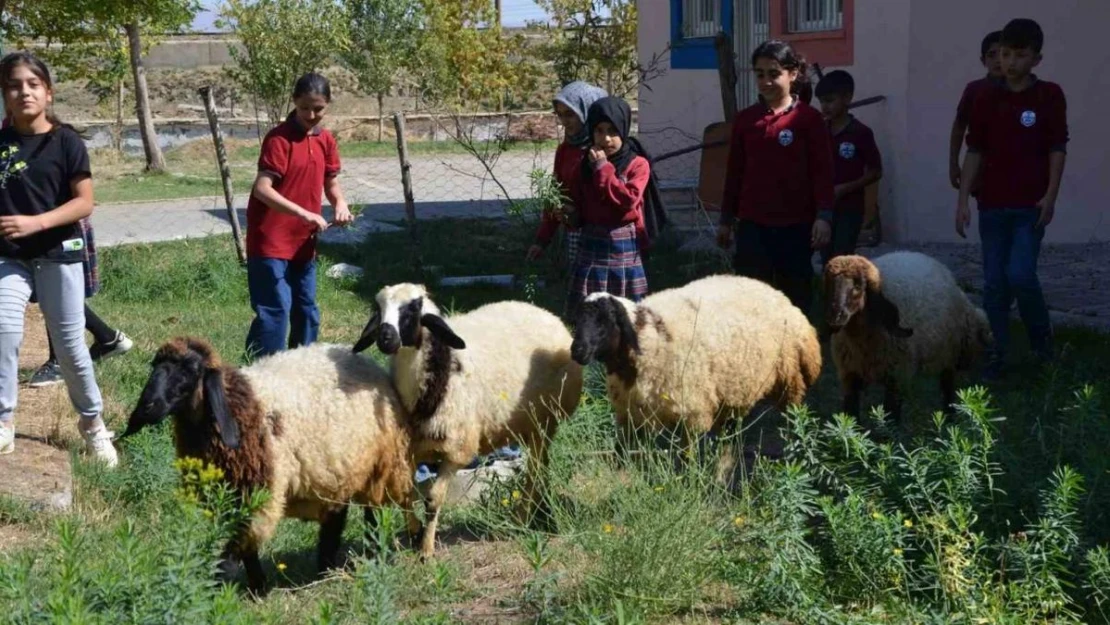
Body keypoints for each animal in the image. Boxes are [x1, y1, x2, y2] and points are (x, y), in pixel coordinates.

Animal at [120, 339, 417, 595]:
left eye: (191, 370)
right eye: (155, 366)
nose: (147, 407)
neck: (239, 408)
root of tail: (360, 357)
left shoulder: (258, 493)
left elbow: (234, 550)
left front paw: (216, 591)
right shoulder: (232, 496)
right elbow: (246, 548)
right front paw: (257, 587)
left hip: (382, 467)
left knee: (373, 516)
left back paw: (369, 556)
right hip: (337, 470)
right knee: (335, 518)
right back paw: (325, 569)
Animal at [350, 281, 586, 557]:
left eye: (413, 309)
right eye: (378, 309)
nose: (385, 338)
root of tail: (546, 314)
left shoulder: (457, 451)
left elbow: (433, 499)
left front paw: (426, 549)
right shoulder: (413, 450)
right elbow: (406, 492)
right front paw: (415, 531)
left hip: (544, 420)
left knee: (535, 471)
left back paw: (522, 518)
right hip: (529, 425)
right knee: (542, 466)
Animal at [572, 274, 825, 459]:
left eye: (604, 321)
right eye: (578, 320)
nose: (577, 351)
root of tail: (782, 298)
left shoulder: (692, 411)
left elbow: (687, 458)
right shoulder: (630, 413)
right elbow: (621, 455)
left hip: (790, 381)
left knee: (793, 419)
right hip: (734, 392)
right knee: (730, 435)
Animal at [825, 251, 999, 424]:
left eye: (858, 286)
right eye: (830, 285)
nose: (836, 316)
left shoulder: (897, 375)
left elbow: (892, 415)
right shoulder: (849, 374)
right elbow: (851, 414)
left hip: (948, 353)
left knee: (947, 385)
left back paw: (949, 417)